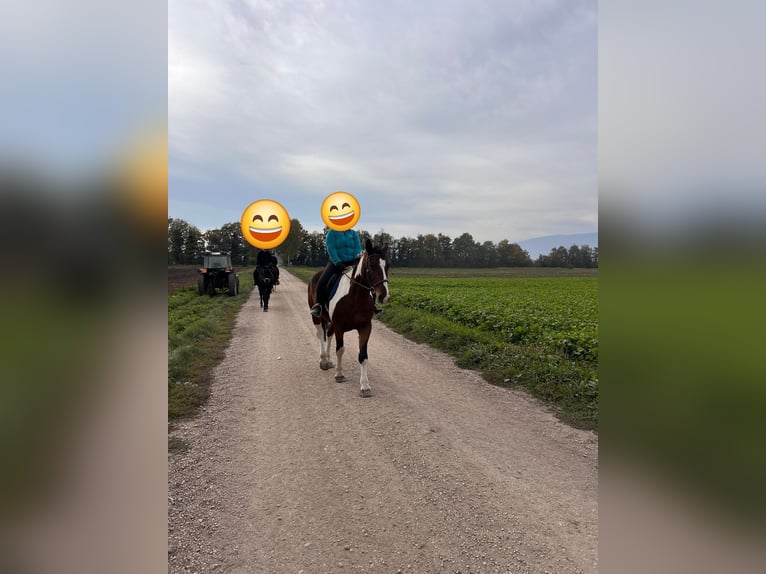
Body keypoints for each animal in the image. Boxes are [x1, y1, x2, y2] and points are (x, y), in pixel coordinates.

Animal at [307, 239, 390, 397]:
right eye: (371, 265)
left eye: (387, 265)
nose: (384, 296)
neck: (355, 297)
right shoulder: (340, 326)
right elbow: (340, 349)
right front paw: (339, 375)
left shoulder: (365, 327)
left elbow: (363, 355)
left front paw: (365, 386)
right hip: (317, 318)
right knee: (321, 335)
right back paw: (323, 361)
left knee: (328, 334)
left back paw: (328, 360)